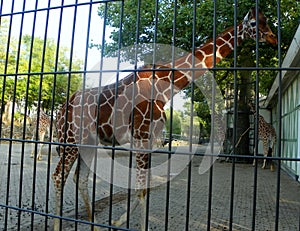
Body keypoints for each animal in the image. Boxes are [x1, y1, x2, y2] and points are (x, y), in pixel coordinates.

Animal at [51, 7, 276, 231]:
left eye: (267, 20)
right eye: (254, 23)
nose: (273, 38)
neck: (164, 86)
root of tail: (61, 108)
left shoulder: (151, 140)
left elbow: (145, 187)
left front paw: (117, 221)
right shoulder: (142, 137)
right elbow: (142, 189)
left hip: (88, 142)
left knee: (80, 179)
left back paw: (94, 225)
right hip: (69, 140)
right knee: (58, 176)